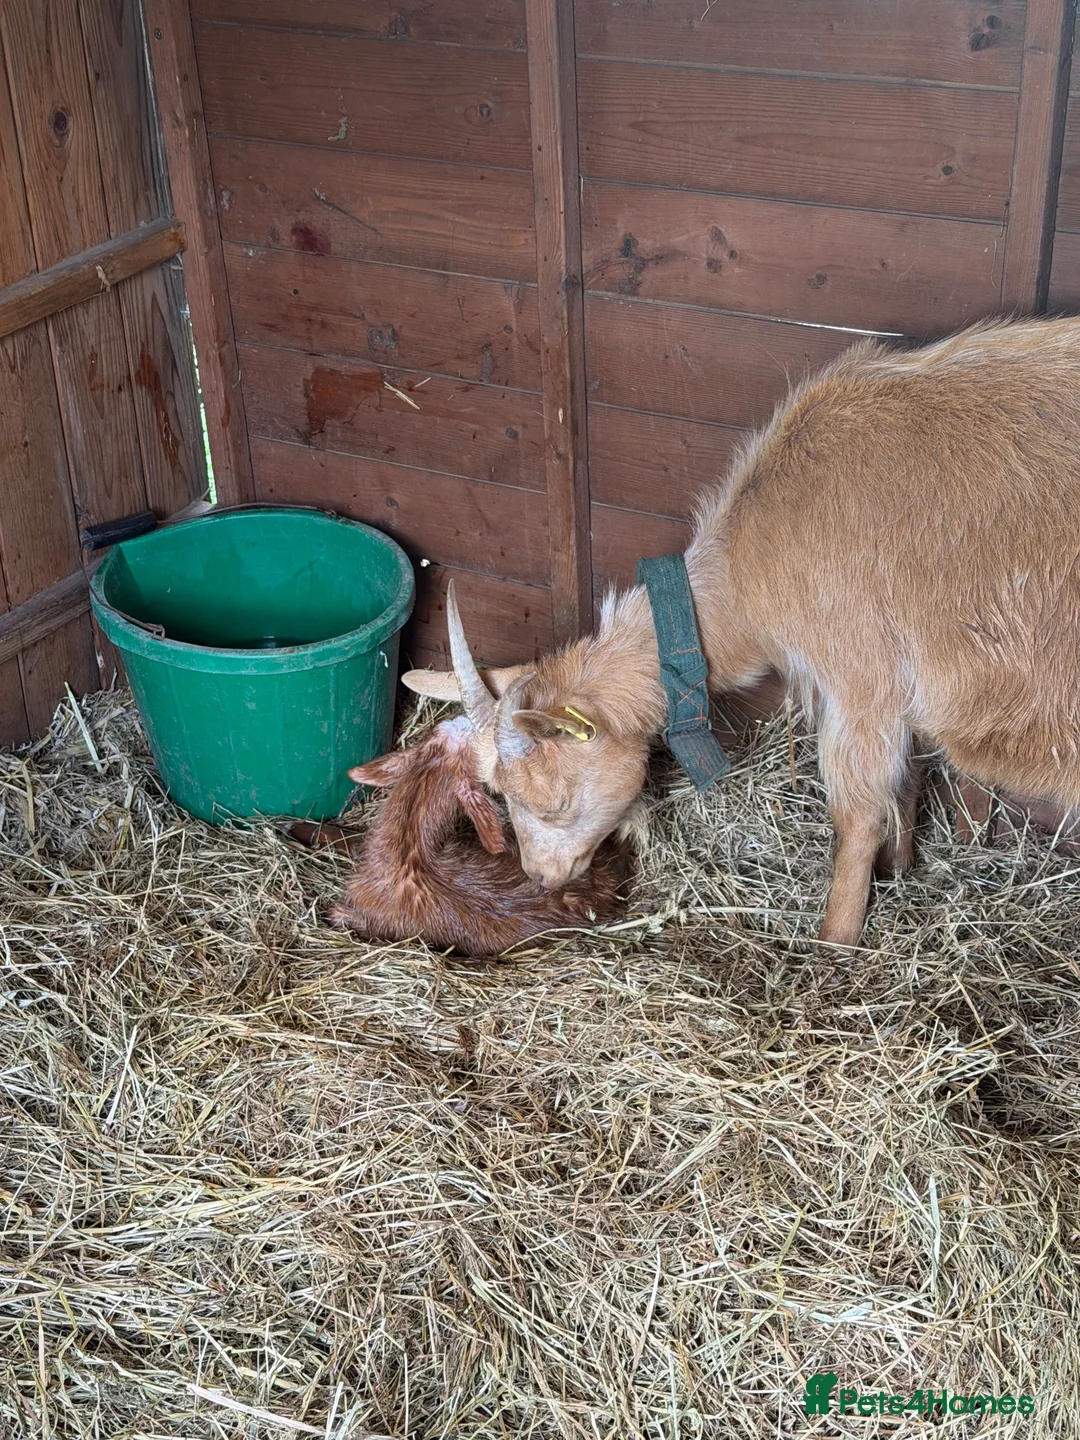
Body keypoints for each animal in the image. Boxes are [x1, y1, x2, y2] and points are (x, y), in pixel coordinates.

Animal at [403, 316, 1080, 947]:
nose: (541, 876)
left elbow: (856, 816)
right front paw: (899, 867)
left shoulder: (860, 680)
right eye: (496, 791)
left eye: (554, 801)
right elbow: (908, 778)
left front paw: (836, 941)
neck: (749, 566)